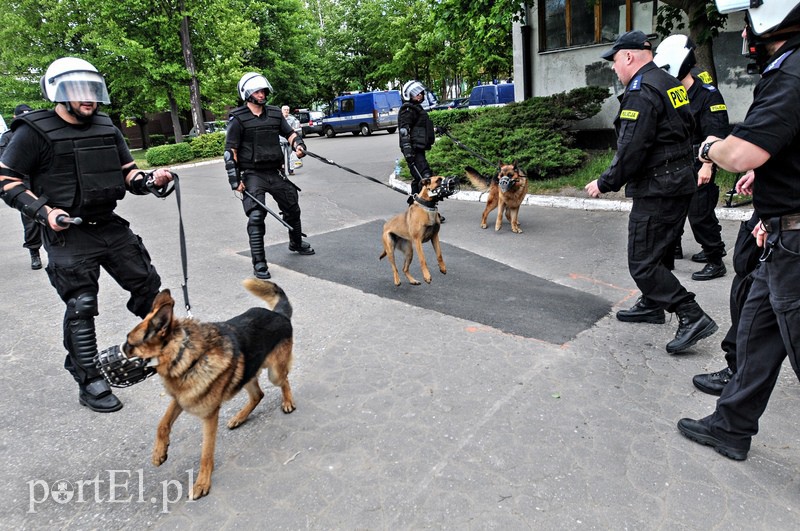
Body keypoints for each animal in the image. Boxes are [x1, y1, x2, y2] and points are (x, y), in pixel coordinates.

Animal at [119, 280, 294, 500]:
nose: (121, 348)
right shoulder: (181, 398)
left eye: (130, 344)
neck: (185, 355)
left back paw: (287, 402)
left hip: (274, 373)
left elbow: (206, 452)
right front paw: (159, 452)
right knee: (258, 395)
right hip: (247, 373)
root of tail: (278, 314)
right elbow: (162, 424)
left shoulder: (209, 415)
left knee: (284, 381)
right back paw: (239, 417)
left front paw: (202, 483)